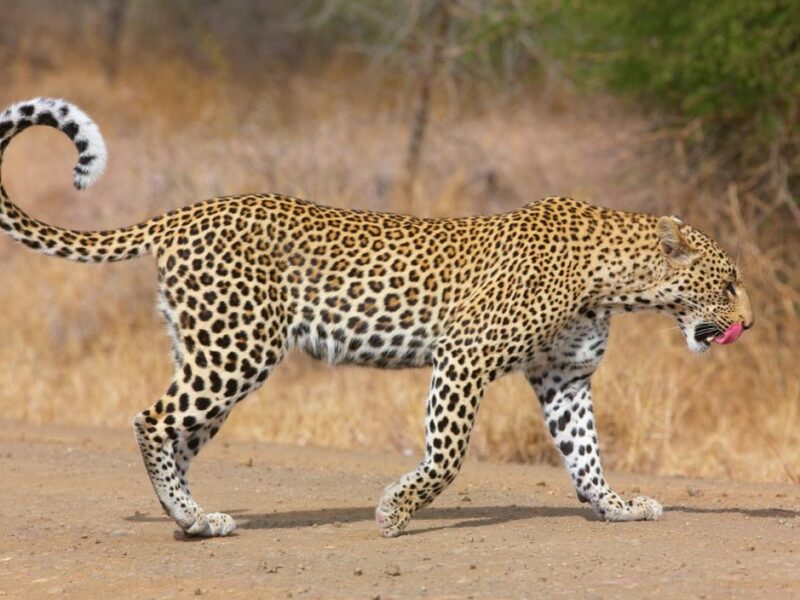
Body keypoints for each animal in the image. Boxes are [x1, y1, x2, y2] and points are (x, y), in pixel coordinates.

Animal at [0, 98, 753, 538]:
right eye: (729, 281)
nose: (750, 321)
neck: (613, 278)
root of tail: (186, 211)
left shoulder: (564, 378)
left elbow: (587, 455)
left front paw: (617, 506)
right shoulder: (465, 357)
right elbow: (448, 454)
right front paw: (396, 510)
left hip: (209, 349)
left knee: (181, 435)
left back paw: (193, 519)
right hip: (237, 348)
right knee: (152, 420)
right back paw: (188, 515)